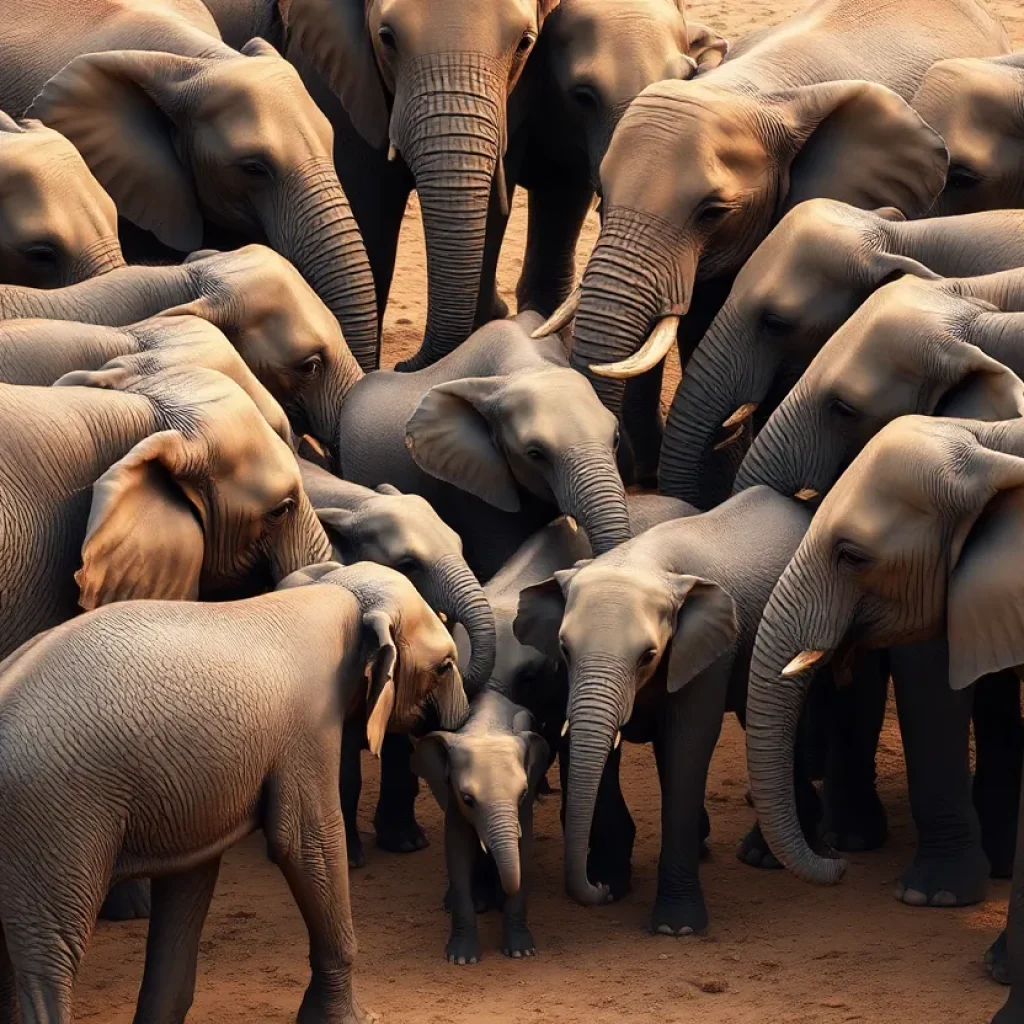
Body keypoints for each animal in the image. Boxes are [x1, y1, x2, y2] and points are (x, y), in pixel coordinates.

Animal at [0, 559, 467, 1024]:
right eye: (445, 666)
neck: (336, 590)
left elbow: (192, 874)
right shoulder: (308, 727)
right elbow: (307, 845)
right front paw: (357, 1020)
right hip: (53, 816)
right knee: (50, 955)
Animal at [412, 691, 548, 964]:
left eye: (523, 793)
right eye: (467, 799)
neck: (487, 727)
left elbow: (524, 848)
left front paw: (521, 952)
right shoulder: (452, 794)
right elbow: (458, 851)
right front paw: (461, 959)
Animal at [514, 485, 812, 933]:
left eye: (648, 656)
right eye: (564, 649)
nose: (596, 891)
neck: (644, 559)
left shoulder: (710, 651)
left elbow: (687, 745)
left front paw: (678, 927)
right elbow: (600, 751)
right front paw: (612, 884)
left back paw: (763, 858)